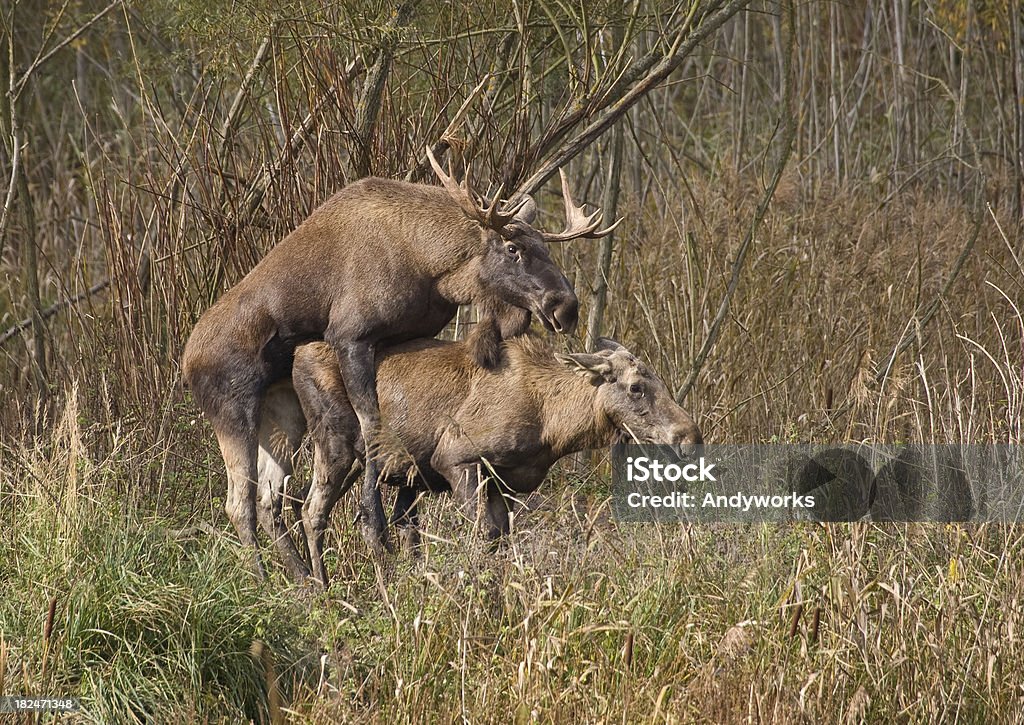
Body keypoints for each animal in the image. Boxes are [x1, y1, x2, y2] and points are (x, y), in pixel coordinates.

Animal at [182, 150, 614, 581]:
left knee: (272, 498)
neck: (433, 268)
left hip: (283, 413)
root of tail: (185, 364)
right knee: (239, 504)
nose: (566, 306)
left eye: (546, 247)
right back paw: (266, 578)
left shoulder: (408, 338)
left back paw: (305, 580)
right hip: (233, 412)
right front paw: (374, 527)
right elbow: (373, 423)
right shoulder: (351, 336)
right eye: (512, 248)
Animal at [256, 333, 704, 589]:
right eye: (636, 386)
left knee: (287, 501)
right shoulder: (458, 459)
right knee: (310, 510)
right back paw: (321, 589)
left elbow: (499, 540)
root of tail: (296, 357)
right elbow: (481, 537)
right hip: (337, 443)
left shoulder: (503, 482)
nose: (690, 437)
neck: (552, 423)